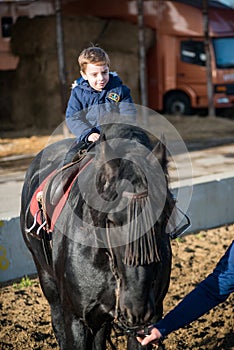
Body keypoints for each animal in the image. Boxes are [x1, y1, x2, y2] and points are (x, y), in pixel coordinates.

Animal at [20, 123, 176, 350]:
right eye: (111, 221)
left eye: (162, 217)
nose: (136, 308)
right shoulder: (76, 320)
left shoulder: (144, 326)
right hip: (48, 281)